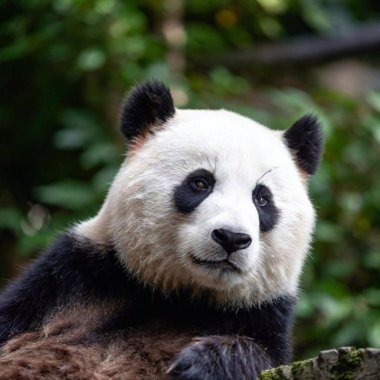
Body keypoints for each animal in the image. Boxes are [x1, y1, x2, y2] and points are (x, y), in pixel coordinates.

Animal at [0, 81, 322, 378]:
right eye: (200, 183)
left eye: (262, 199)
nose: (231, 238)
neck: (181, 297)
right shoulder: (72, 280)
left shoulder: (261, 312)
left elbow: (263, 355)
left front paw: (203, 363)